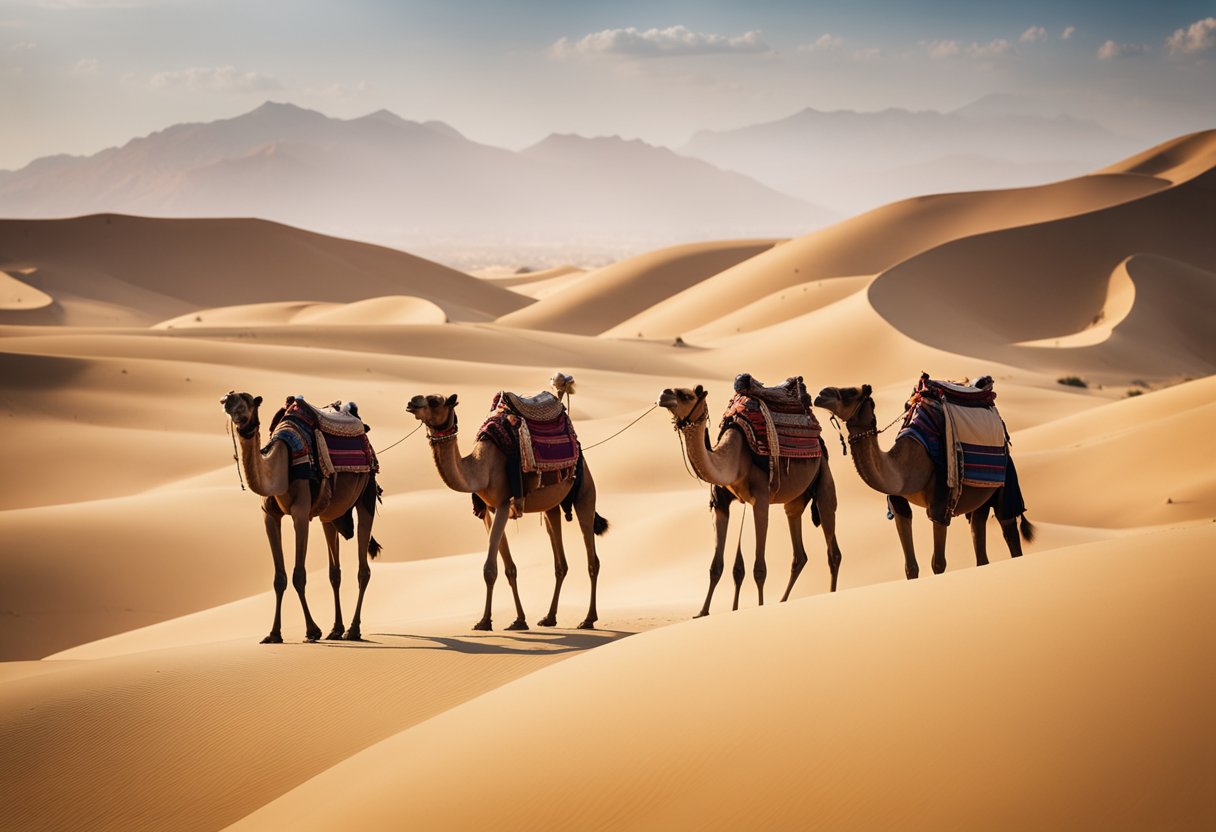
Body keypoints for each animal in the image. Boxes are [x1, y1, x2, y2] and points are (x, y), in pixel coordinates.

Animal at [221, 389, 376, 642]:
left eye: (246, 401)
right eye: (229, 399)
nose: (228, 401)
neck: (281, 465)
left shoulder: (301, 513)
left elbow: (298, 576)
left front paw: (312, 630)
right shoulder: (269, 516)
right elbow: (279, 578)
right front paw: (273, 634)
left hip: (367, 492)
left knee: (364, 569)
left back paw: (353, 630)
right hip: (329, 513)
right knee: (335, 572)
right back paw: (336, 629)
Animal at [406, 389, 605, 632]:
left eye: (434, 401)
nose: (411, 402)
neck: (480, 467)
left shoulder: (503, 504)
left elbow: (490, 569)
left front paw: (484, 621)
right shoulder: (488, 511)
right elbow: (509, 568)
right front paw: (519, 620)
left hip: (585, 492)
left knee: (592, 559)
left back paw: (588, 619)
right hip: (551, 506)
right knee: (561, 563)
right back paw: (549, 617)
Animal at [661, 384, 841, 617]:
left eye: (686, 395)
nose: (663, 395)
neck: (735, 459)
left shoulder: (761, 500)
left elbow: (759, 569)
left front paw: (761, 606)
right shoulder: (720, 503)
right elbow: (715, 567)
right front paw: (702, 612)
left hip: (824, 479)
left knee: (833, 550)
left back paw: (831, 595)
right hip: (795, 501)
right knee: (799, 554)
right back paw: (783, 601)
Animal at [812, 384, 1031, 574]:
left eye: (850, 392)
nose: (821, 394)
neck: (904, 469)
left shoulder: (940, 504)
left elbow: (938, 563)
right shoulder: (898, 502)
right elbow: (911, 567)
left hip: (1007, 484)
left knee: (1010, 532)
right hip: (980, 502)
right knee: (980, 541)